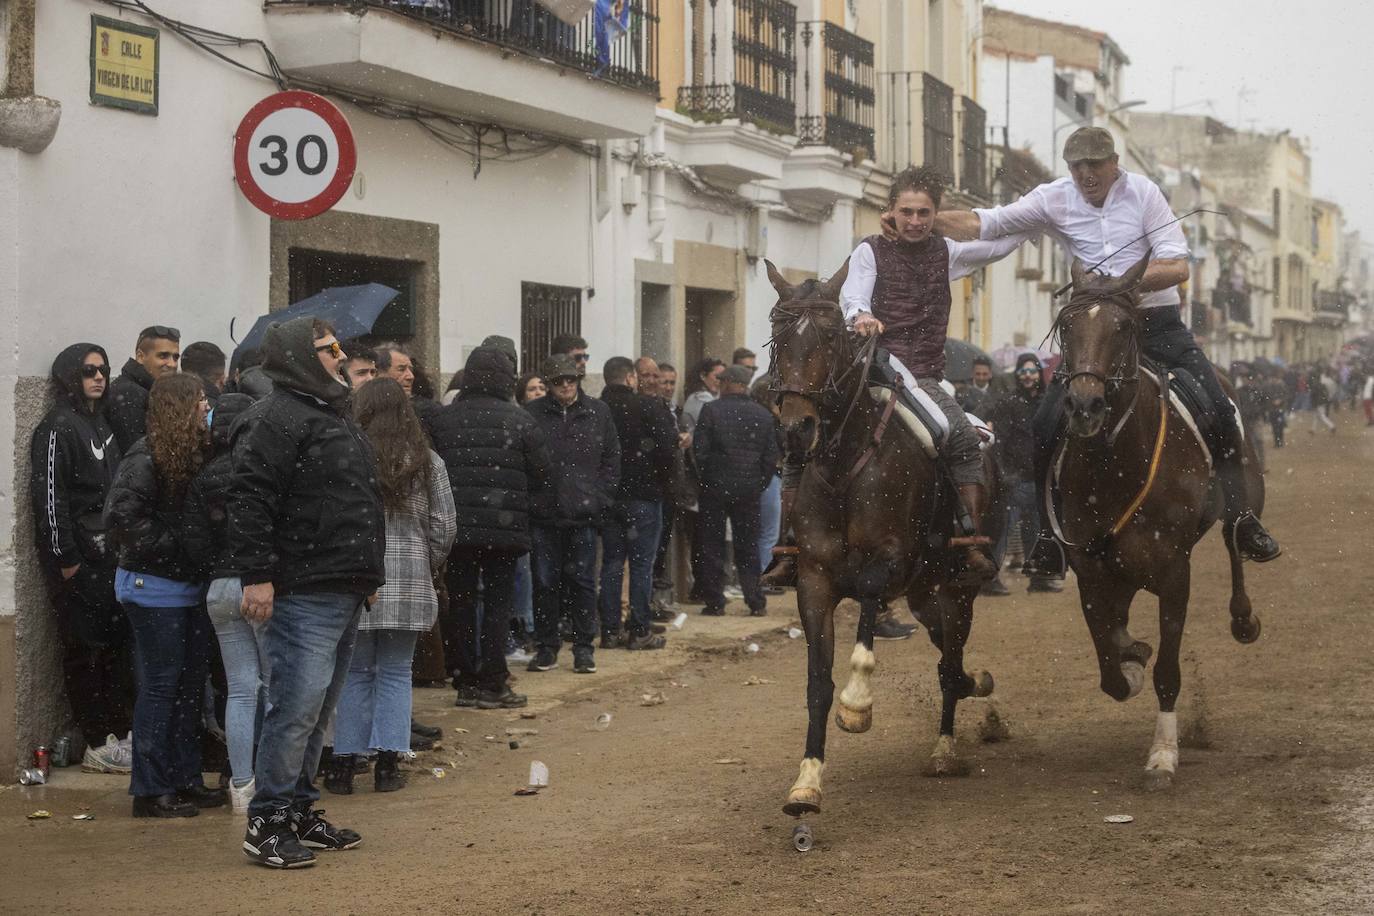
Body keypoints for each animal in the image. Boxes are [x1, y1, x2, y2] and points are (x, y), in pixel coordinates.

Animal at [763, 259, 1000, 818]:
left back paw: (944, 750)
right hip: (924, 593)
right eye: (778, 336)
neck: (845, 465)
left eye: (830, 335)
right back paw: (972, 688)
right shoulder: (814, 581)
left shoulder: (890, 562)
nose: (796, 429)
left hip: (957, 588)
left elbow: (867, 609)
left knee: (949, 661)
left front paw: (857, 704)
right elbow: (817, 683)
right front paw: (806, 784)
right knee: (947, 656)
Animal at [1049, 254, 1264, 791]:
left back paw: (1243, 616)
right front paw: (1130, 661)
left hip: (1244, 495)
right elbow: (1108, 653)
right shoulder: (1090, 567)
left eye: (1124, 326)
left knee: (1236, 541)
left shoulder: (1173, 572)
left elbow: (1168, 669)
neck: (1115, 462)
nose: (1084, 405)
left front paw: (1163, 755)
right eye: (1067, 325)